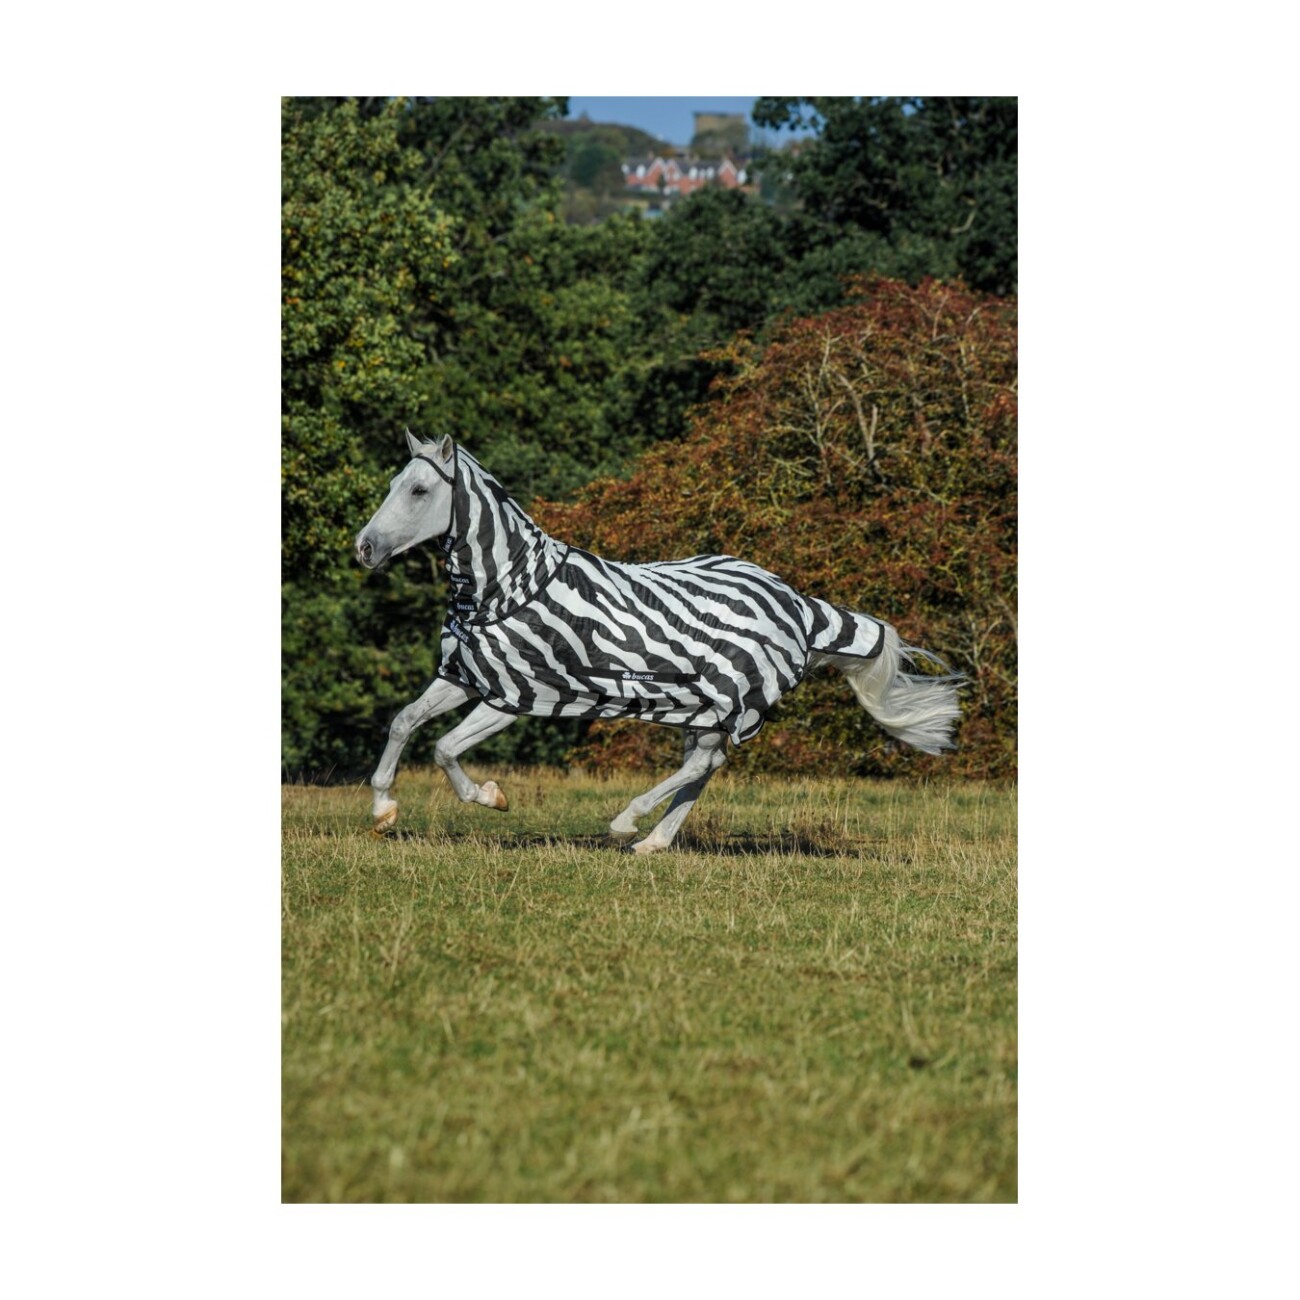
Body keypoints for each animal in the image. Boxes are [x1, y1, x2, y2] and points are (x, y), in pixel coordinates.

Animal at [354, 431, 963, 854]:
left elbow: (443, 748)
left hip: (729, 699)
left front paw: (491, 797)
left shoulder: (516, 694)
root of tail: (799, 604)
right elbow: (404, 723)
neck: (505, 587)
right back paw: (653, 841)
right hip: (705, 706)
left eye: (419, 489)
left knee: (702, 764)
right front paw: (383, 810)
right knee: (706, 765)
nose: (364, 548)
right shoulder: (464, 677)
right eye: (391, 485)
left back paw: (627, 823)